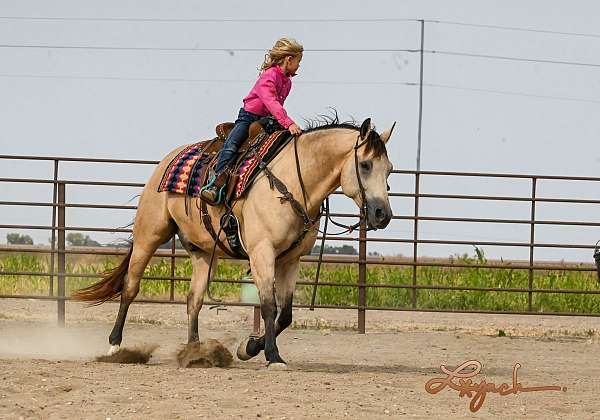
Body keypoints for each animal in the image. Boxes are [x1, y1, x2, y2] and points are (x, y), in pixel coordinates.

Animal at [74, 115, 394, 368]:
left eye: (389, 169)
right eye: (365, 165)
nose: (383, 214)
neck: (293, 182)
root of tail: (167, 160)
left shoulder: (291, 260)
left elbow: (286, 314)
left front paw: (248, 348)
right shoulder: (262, 253)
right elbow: (268, 306)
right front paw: (272, 356)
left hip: (204, 253)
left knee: (194, 299)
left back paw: (195, 353)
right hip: (149, 234)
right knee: (130, 287)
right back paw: (115, 346)